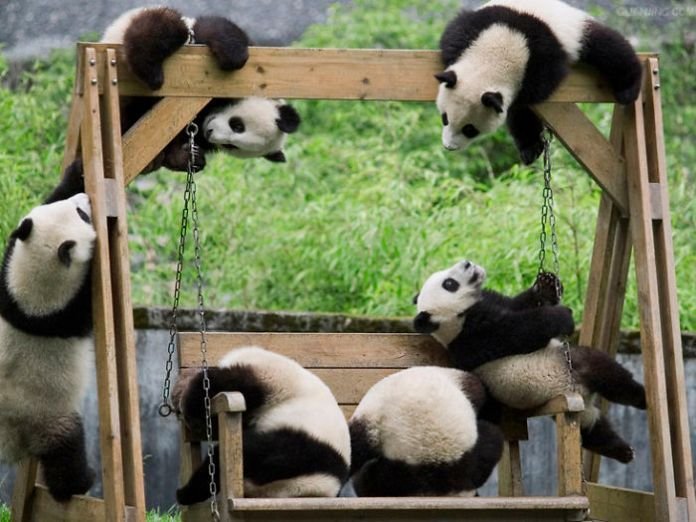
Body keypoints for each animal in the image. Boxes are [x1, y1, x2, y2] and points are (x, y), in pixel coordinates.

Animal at [0, 162, 96, 501]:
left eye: (76, 208)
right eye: (81, 215)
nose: (86, 197)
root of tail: (13, 441)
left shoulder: (6, 287)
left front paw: (77, 171)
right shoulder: (69, 312)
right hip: (51, 419)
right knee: (66, 453)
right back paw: (80, 482)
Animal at [101, 6, 301, 173]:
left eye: (232, 146)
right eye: (237, 125)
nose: (209, 132)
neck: (205, 114)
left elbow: (175, 147)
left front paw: (192, 158)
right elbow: (217, 30)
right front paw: (232, 56)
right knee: (163, 27)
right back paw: (151, 73)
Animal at [173, 346, 351, 503]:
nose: (246, 488)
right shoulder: (301, 448)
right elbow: (250, 451)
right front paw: (186, 493)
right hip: (273, 382)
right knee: (230, 383)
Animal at [413, 259, 647, 463]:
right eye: (449, 284)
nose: (467, 263)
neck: (456, 319)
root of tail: (581, 394)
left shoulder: (490, 306)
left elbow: (520, 303)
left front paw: (546, 285)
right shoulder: (476, 338)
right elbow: (522, 331)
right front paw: (562, 315)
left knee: (594, 430)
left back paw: (623, 451)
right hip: (568, 372)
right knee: (607, 376)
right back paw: (641, 398)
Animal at [435, 0, 643, 164]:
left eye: (470, 129)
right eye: (445, 118)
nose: (449, 147)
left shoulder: (540, 65)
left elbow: (524, 106)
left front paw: (530, 147)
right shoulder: (473, 27)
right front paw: (531, 149)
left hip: (576, 30)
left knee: (608, 47)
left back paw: (628, 89)